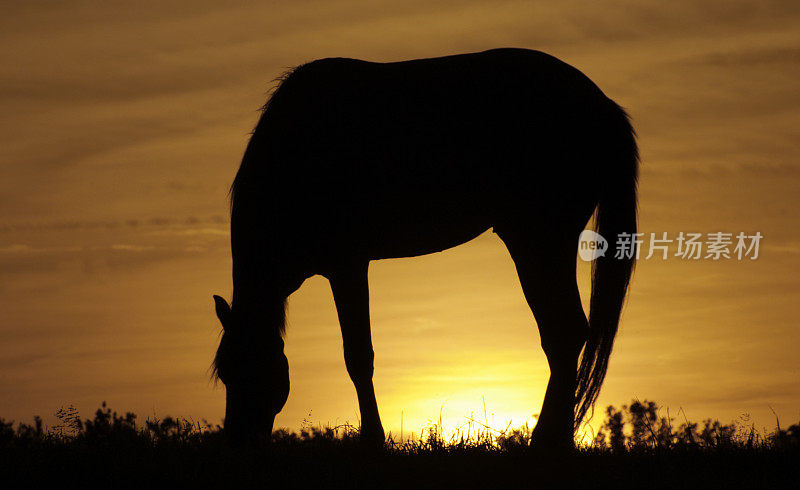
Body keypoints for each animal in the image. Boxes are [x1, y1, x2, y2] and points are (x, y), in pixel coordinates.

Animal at [212, 47, 636, 450]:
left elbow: (358, 356)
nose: (237, 441)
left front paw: (373, 440)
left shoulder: (348, 265)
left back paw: (546, 442)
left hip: (538, 237)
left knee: (564, 331)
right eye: (225, 375)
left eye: (254, 370)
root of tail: (601, 104)